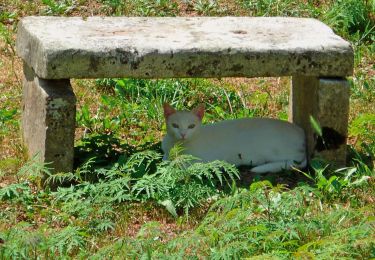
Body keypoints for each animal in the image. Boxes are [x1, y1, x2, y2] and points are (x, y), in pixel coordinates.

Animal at [162, 103, 308, 173]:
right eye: (175, 125)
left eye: (191, 126)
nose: (183, 134)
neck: (175, 145)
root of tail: (300, 132)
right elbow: (165, 159)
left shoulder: (198, 161)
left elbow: (176, 164)